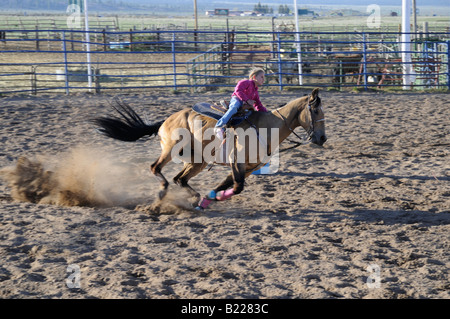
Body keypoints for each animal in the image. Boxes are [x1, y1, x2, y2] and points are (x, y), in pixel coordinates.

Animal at [92, 89, 326, 211]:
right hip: (171, 149)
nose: (322, 138)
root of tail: (167, 119)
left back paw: (194, 198)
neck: (265, 126)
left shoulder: (250, 167)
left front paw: (209, 197)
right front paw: (213, 197)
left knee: (180, 179)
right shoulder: (237, 163)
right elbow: (237, 187)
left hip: (198, 161)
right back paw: (162, 192)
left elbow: (229, 184)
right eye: (315, 111)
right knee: (156, 168)